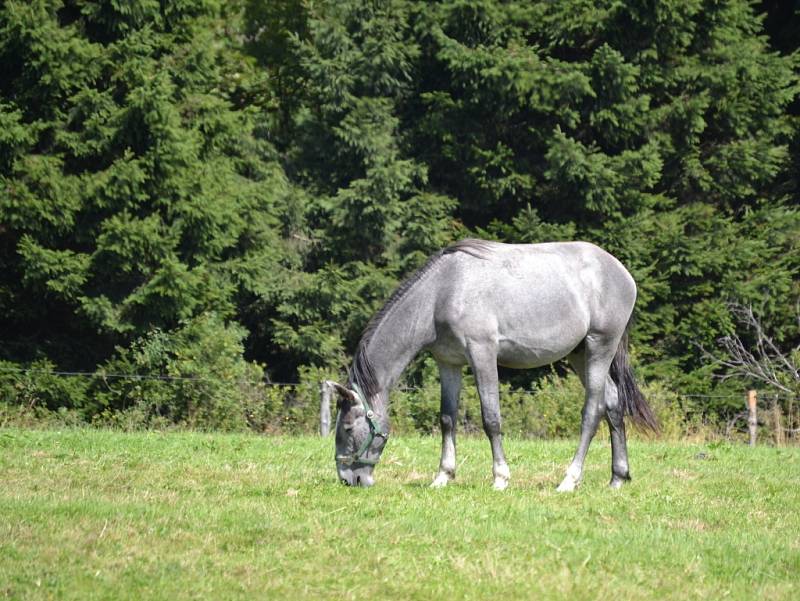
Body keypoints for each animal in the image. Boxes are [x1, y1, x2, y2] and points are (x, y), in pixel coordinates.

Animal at [328, 241, 660, 490]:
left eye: (347, 427)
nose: (349, 479)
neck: (442, 291)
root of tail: (621, 272)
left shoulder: (482, 353)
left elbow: (491, 418)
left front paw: (500, 478)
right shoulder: (449, 362)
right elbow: (447, 418)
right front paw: (442, 476)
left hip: (599, 347)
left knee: (593, 411)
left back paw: (569, 480)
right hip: (580, 354)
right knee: (614, 403)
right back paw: (618, 477)